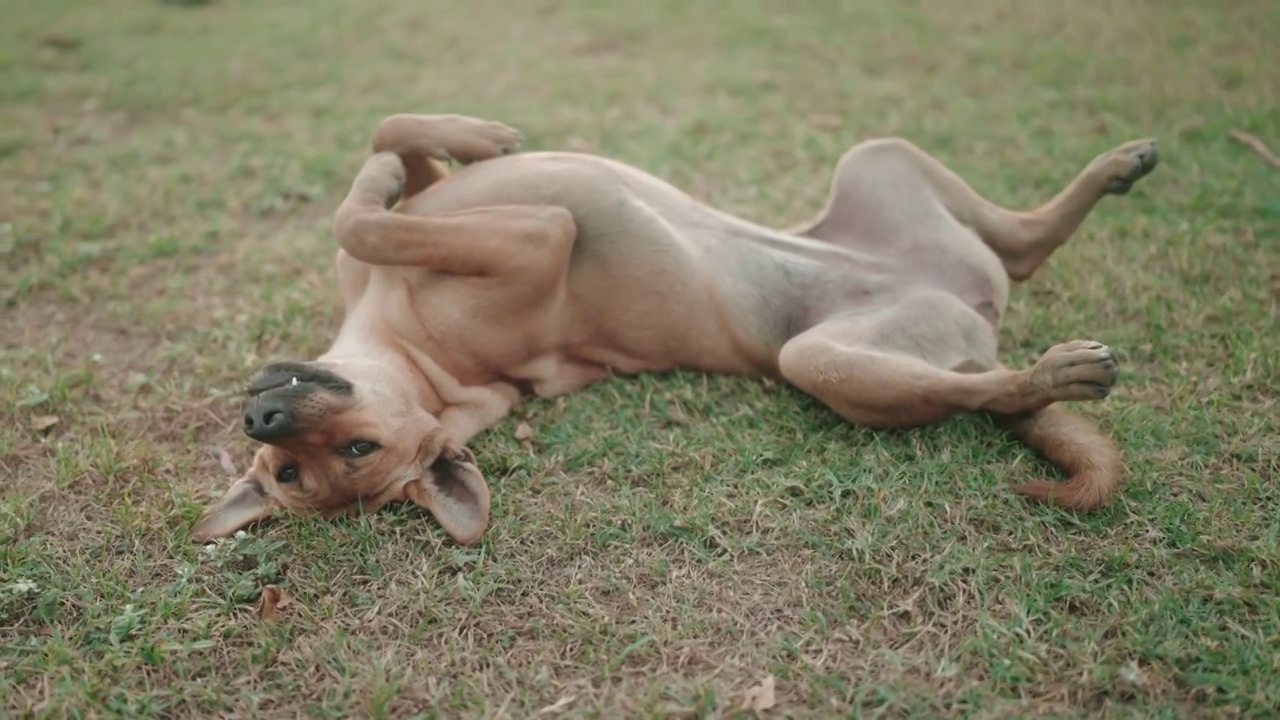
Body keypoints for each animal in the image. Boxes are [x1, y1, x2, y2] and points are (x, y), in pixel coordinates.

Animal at [192, 110, 1162, 538]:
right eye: (294, 471)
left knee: (1026, 245)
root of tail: (973, 317)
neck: (415, 362)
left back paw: (1115, 168)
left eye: (349, 452)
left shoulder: (466, 221)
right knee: (992, 381)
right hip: (829, 362)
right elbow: (360, 210)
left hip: (877, 163)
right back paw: (1056, 373)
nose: (261, 415)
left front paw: (471, 137)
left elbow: (382, 156)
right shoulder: (538, 235)